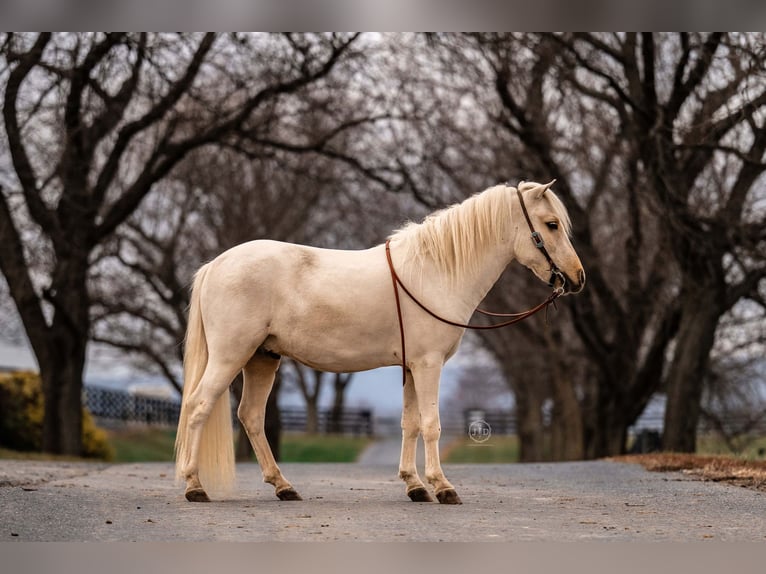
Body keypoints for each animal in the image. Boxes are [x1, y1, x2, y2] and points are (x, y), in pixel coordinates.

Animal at [177, 180, 584, 504]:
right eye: (550, 225)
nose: (577, 278)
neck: (436, 272)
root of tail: (215, 265)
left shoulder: (412, 366)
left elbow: (411, 424)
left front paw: (415, 486)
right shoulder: (428, 364)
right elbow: (431, 424)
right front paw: (442, 487)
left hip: (262, 358)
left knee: (250, 417)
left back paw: (283, 486)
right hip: (231, 356)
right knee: (198, 406)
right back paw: (195, 487)